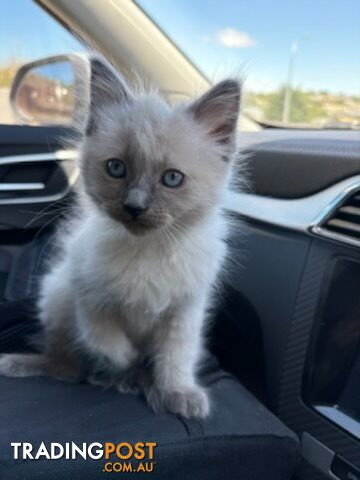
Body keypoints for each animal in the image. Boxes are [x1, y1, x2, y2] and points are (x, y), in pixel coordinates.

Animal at [0, 58, 242, 418]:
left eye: (172, 179)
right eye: (116, 168)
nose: (134, 207)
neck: (148, 250)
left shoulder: (185, 309)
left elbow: (176, 355)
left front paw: (177, 392)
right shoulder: (87, 294)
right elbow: (108, 340)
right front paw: (129, 362)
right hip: (56, 296)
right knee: (66, 367)